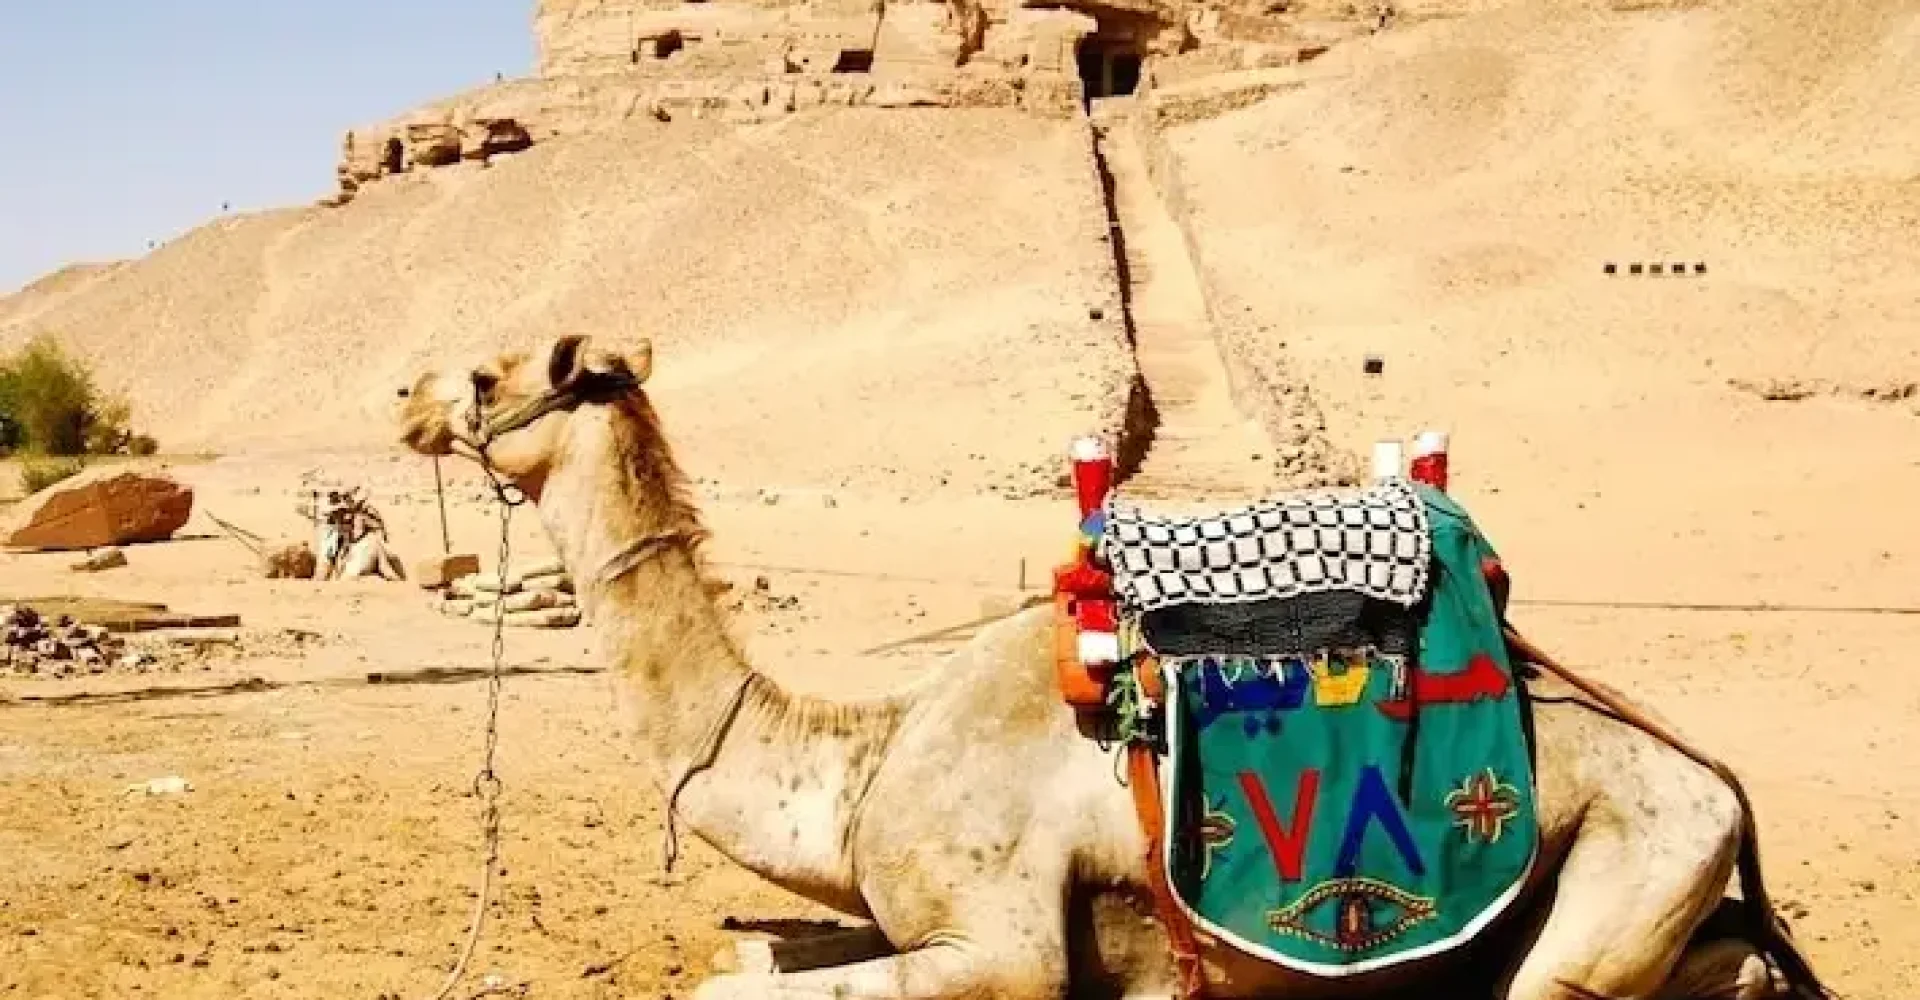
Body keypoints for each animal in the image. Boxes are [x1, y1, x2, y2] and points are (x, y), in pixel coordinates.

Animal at [396, 334, 1832, 1000]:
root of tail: (1722, 779)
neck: (860, 763)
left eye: (490, 371)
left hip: (1636, 852)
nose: (404, 400)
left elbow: (730, 983)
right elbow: (741, 967)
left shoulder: (998, 948)